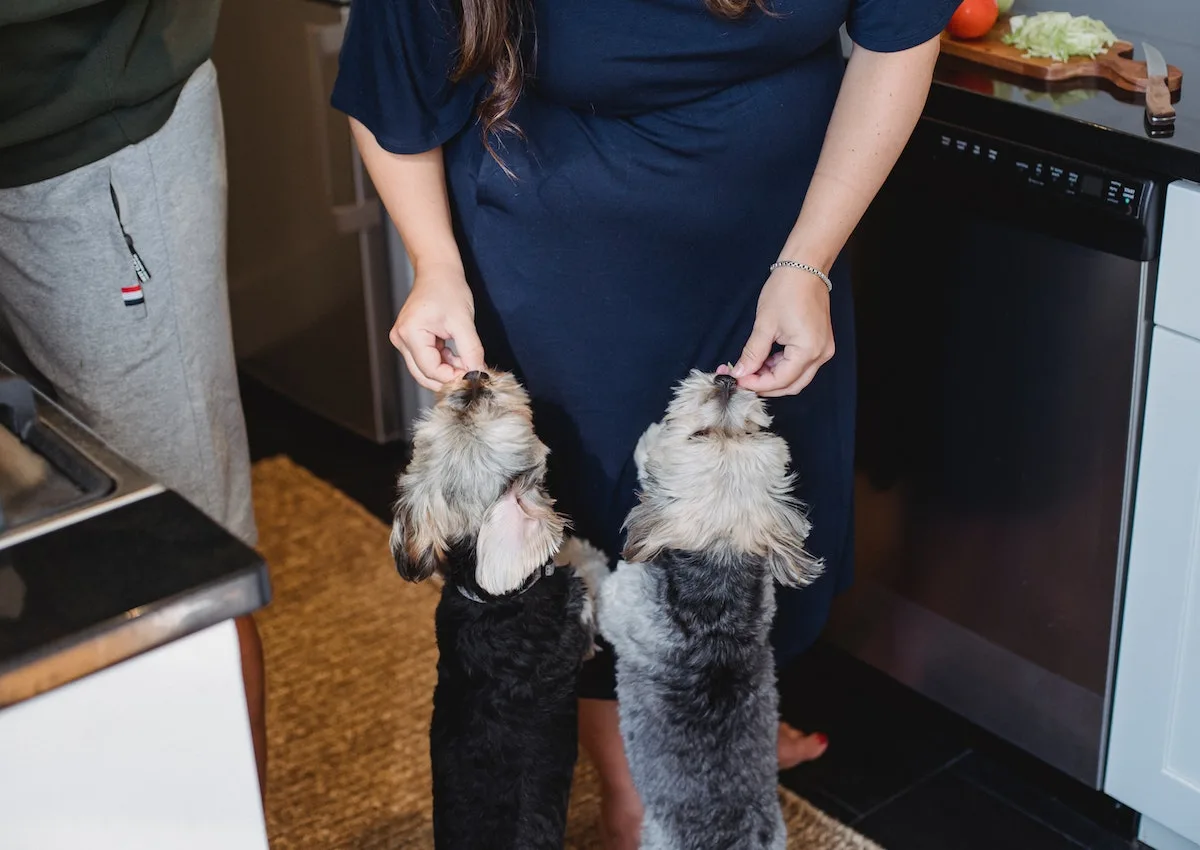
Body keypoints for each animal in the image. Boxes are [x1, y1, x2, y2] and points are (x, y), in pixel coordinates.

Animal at [391, 369, 604, 850]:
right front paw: (586, 555)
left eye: (462, 403)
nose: (474, 374)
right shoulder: (574, 622)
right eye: (493, 406)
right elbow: (582, 585)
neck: (491, 601)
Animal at [583, 369, 825, 850]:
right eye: (750, 430)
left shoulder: (619, 605)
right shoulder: (765, 599)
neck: (718, 570)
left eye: (699, 435)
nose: (727, 380)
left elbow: (594, 573)